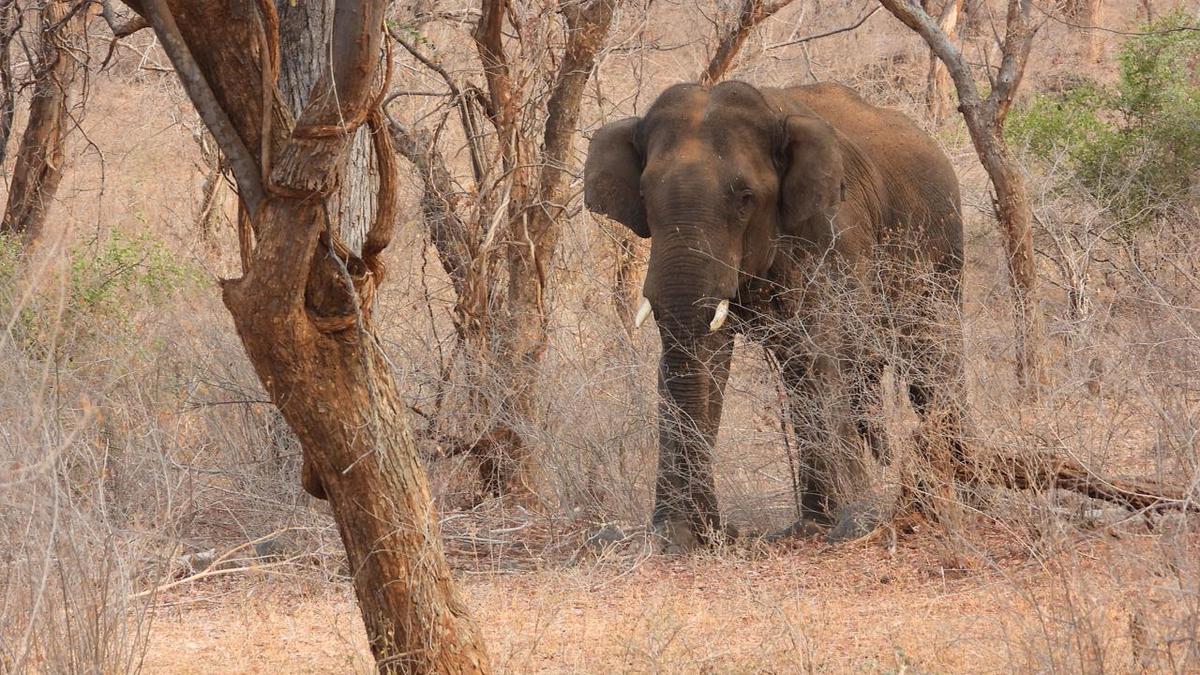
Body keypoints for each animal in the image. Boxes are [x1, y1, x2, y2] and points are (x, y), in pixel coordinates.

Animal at [585, 81, 969, 550]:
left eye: (746, 198)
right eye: (643, 197)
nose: (721, 530)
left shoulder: (834, 230)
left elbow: (817, 352)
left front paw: (840, 527)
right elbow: (709, 359)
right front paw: (676, 537)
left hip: (942, 248)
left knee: (930, 361)